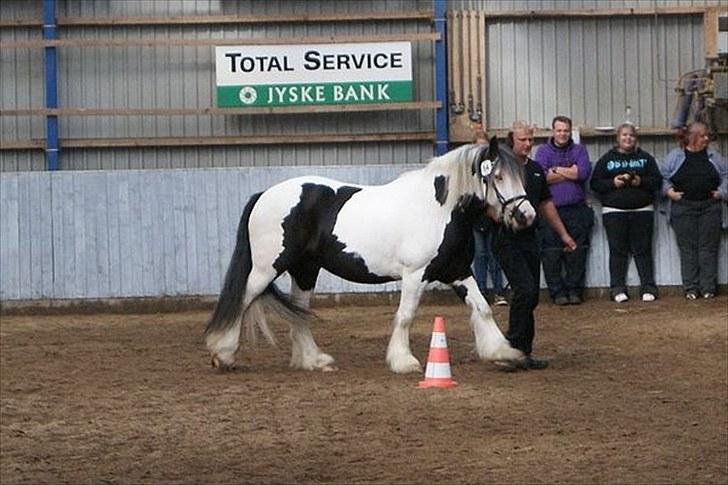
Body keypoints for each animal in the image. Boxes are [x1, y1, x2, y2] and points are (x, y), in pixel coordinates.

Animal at [203, 138, 536, 372]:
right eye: (499, 177)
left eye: (520, 176)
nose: (527, 216)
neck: (439, 208)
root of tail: (264, 195)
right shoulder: (415, 274)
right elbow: (406, 315)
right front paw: (403, 361)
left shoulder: (457, 271)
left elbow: (483, 308)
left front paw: (503, 352)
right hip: (266, 268)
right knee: (243, 300)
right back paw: (223, 355)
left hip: (305, 270)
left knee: (300, 313)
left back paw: (313, 360)